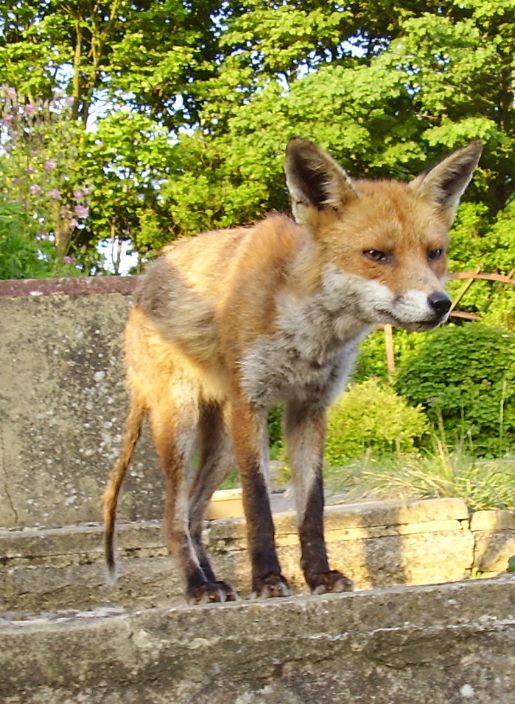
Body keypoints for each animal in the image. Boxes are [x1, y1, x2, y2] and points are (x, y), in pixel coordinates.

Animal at [102, 138, 482, 604]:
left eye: (434, 253)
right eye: (376, 255)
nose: (441, 304)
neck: (309, 333)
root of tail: (143, 286)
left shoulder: (310, 407)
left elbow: (312, 507)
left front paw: (319, 575)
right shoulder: (252, 403)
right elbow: (258, 506)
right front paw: (267, 579)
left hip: (221, 445)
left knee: (193, 516)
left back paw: (214, 580)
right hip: (183, 423)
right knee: (172, 518)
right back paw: (198, 585)